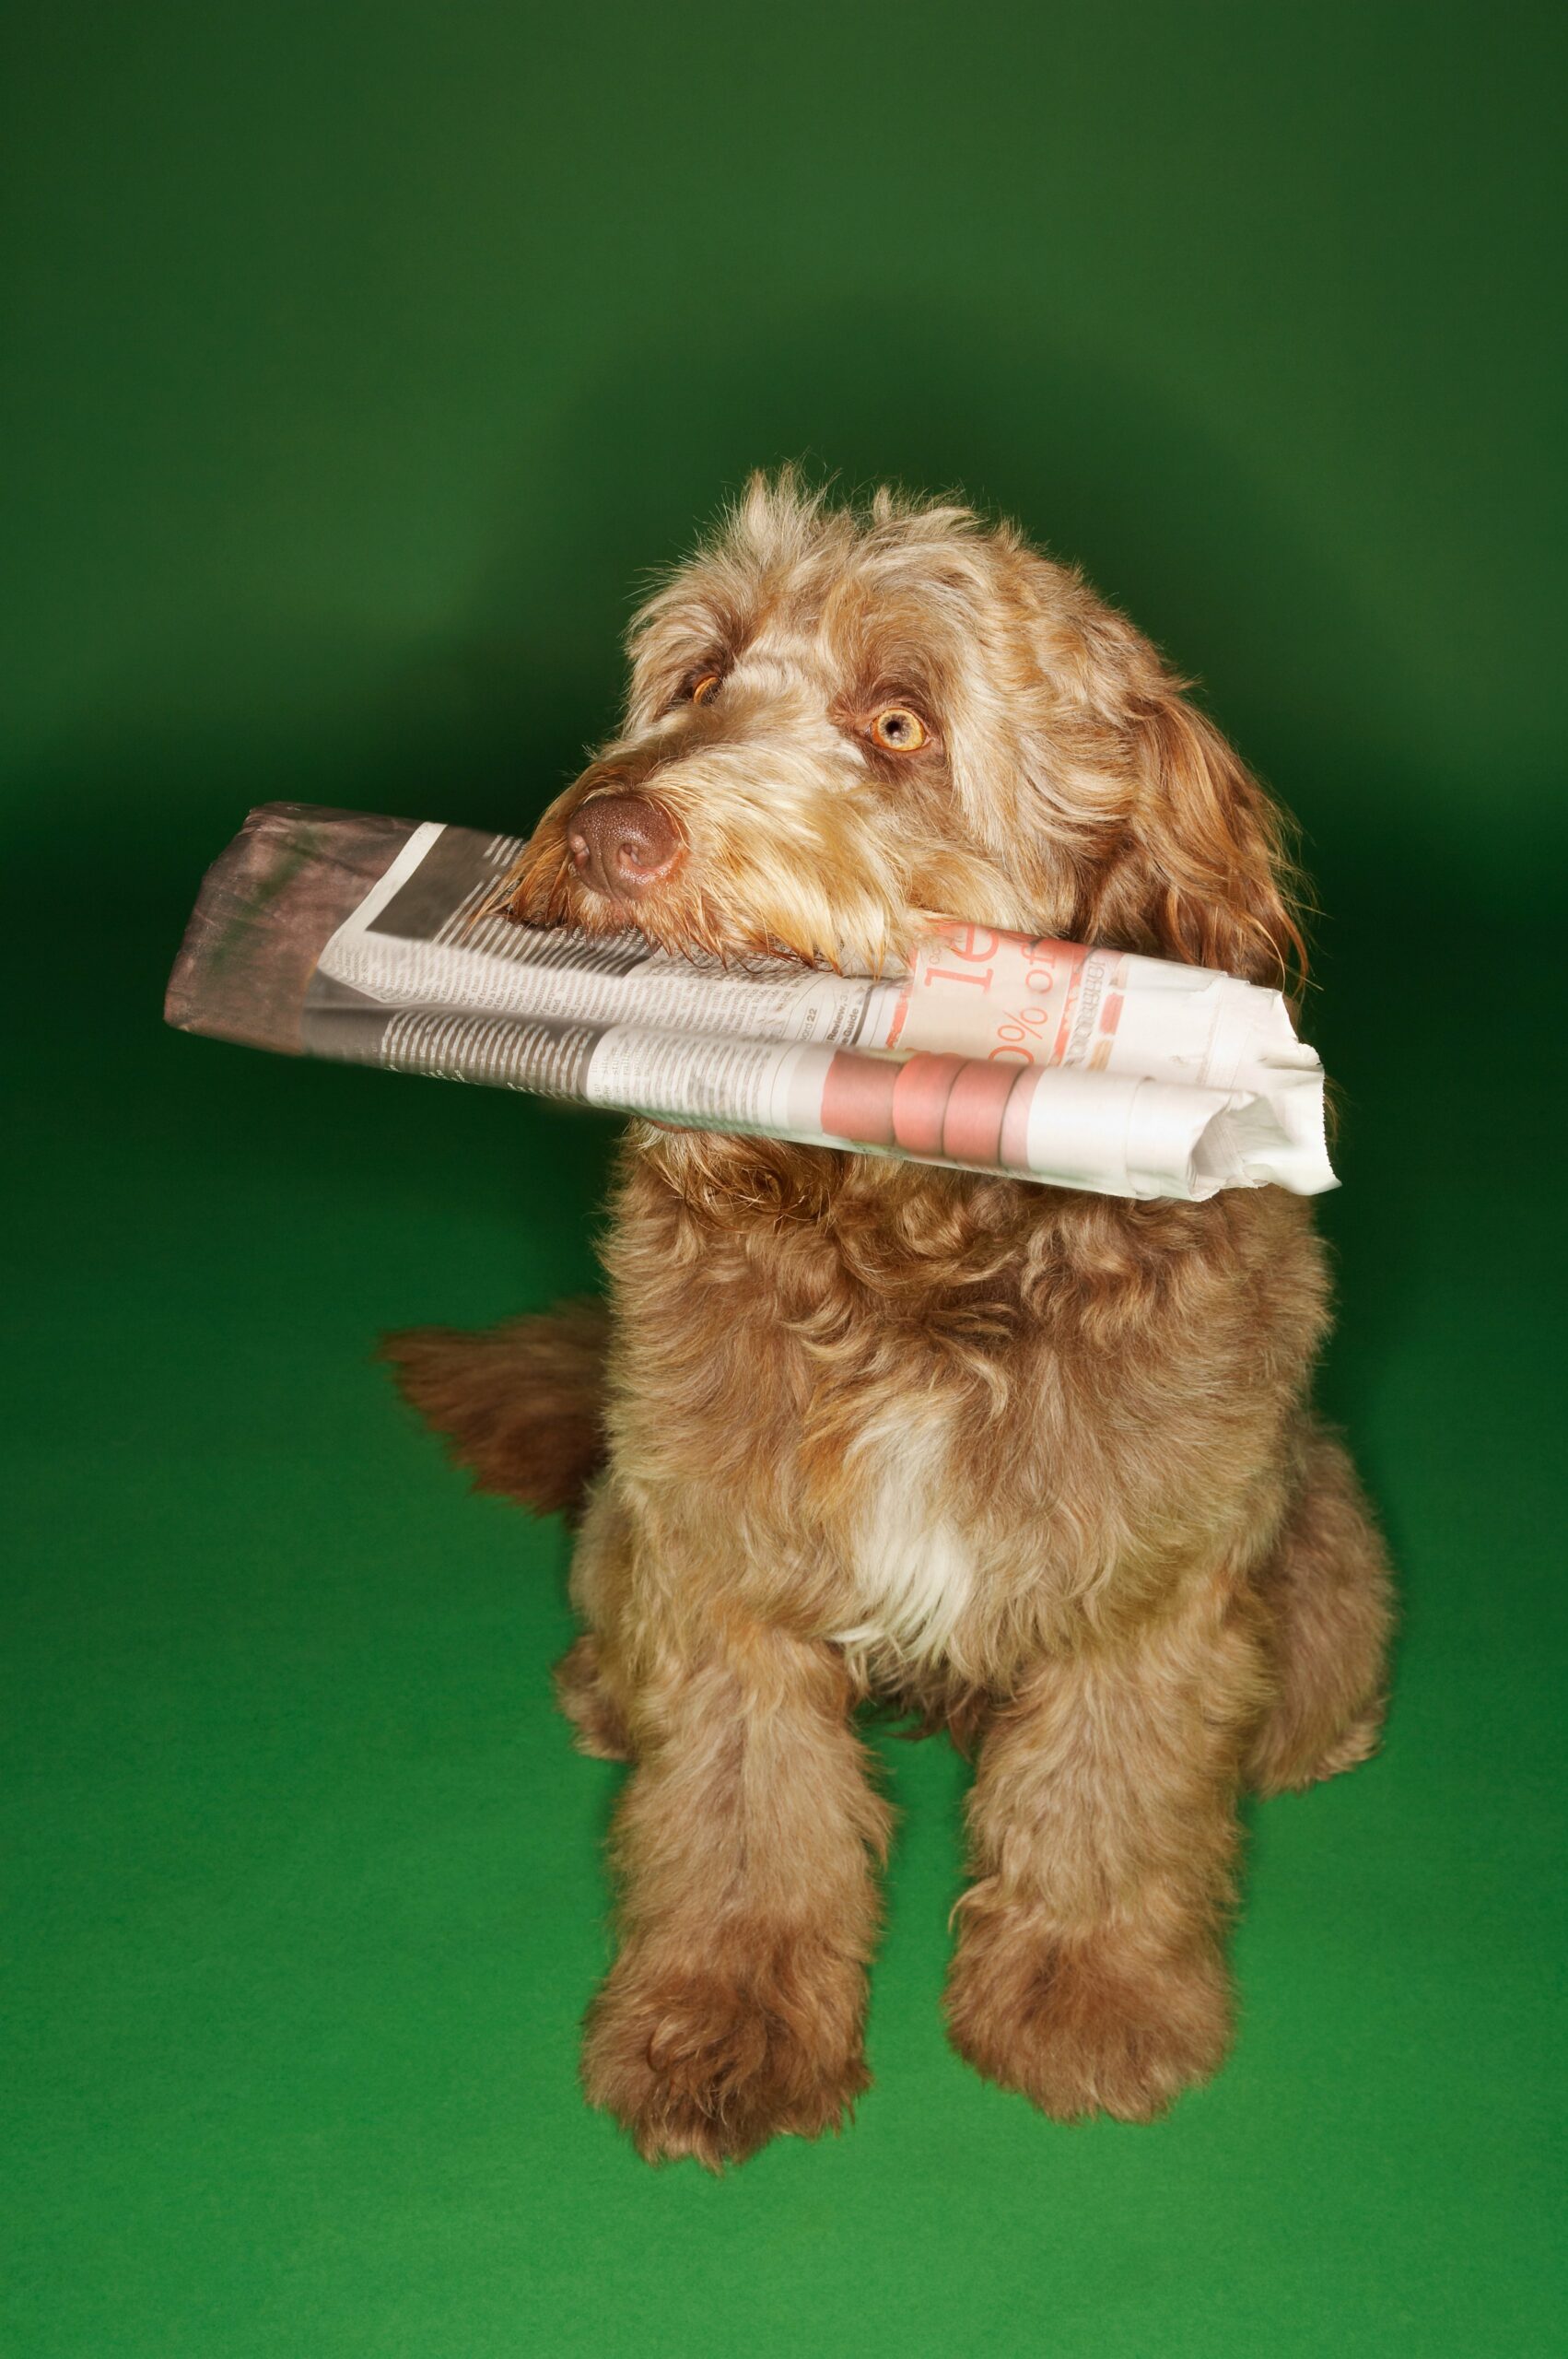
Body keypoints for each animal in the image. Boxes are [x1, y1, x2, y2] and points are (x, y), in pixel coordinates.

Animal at [384, 469, 1386, 2160]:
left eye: (899, 723)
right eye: (699, 677)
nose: (608, 825)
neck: (902, 1236)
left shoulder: (1155, 1562)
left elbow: (1109, 1786)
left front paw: (1089, 1997)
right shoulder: (718, 1541)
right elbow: (742, 1809)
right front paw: (721, 2018)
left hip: (1320, 1554)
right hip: (624, 1513)